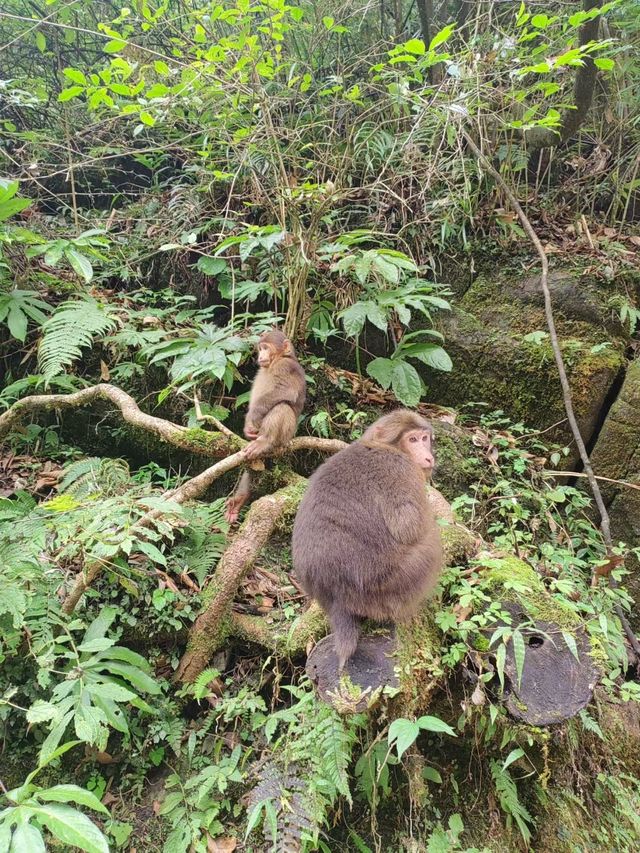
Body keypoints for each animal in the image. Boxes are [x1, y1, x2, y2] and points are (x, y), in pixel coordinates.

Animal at [225, 328, 304, 524]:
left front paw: (253, 418)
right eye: (260, 348)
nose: (261, 355)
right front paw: (247, 427)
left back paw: (266, 441)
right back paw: (241, 498)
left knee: (282, 406)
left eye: (266, 348)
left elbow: (286, 391)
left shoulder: (285, 366)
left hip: (287, 434)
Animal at [292, 412, 442, 672]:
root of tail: (337, 596)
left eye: (424, 438)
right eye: (412, 439)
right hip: (388, 585)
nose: (428, 456)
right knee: (430, 546)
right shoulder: (400, 470)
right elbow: (408, 527)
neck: (385, 446)